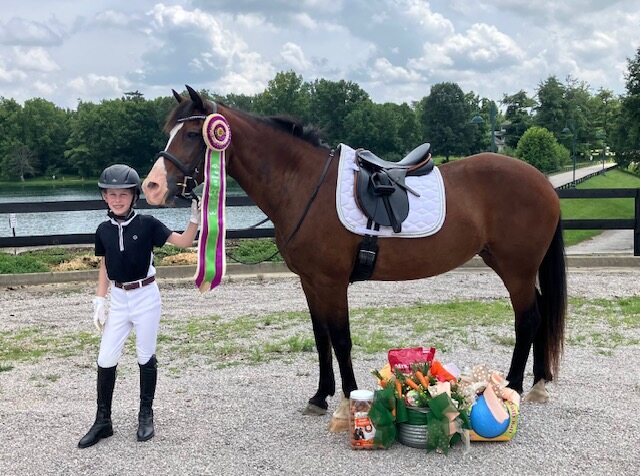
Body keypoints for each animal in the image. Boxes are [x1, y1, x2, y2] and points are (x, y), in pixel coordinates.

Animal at [143, 85, 567, 420]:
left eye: (194, 133)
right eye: (171, 132)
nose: (151, 188)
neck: (303, 185)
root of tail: (541, 181)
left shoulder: (332, 282)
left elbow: (341, 339)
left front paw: (349, 400)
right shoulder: (311, 283)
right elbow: (321, 339)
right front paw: (319, 397)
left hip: (516, 269)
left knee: (528, 318)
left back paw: (513, 387)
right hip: (509, 265)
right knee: (539, 313)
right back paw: (538, 384)